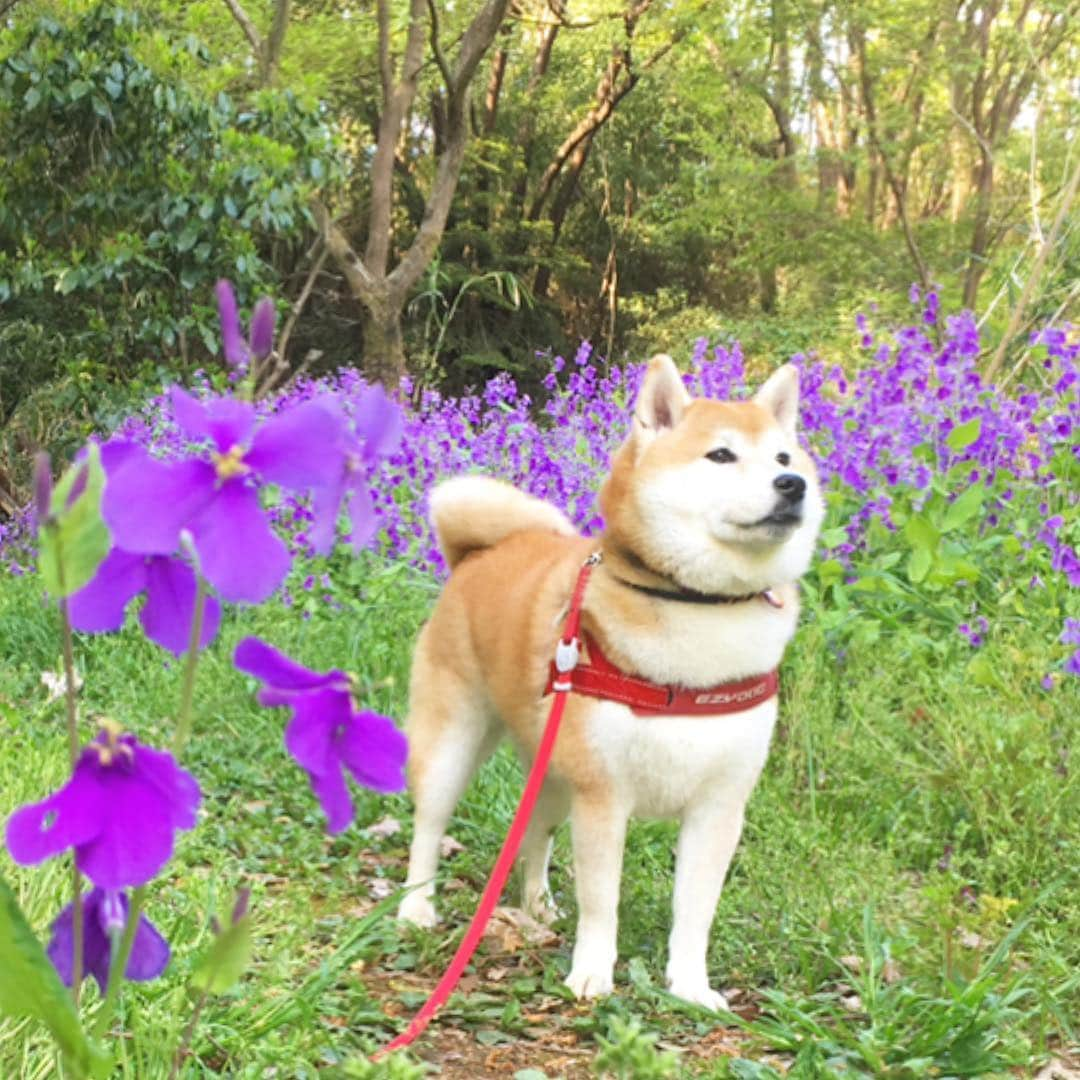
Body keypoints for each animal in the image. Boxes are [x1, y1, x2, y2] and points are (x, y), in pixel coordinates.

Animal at [401, 356, 820, 1010]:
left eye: (784, 457)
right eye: (721, 455)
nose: (792, 485)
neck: (698, 611)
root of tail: (477, 553)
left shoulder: (719, 805)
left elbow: (695, 911)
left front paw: (691, 986)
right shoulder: (604, 796)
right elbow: (603, 902)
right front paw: (593, 974)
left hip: (553, 775)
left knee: (535, 838)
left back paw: (538, 909)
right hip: (454, 746)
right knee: (428, 826)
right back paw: (416, 906)